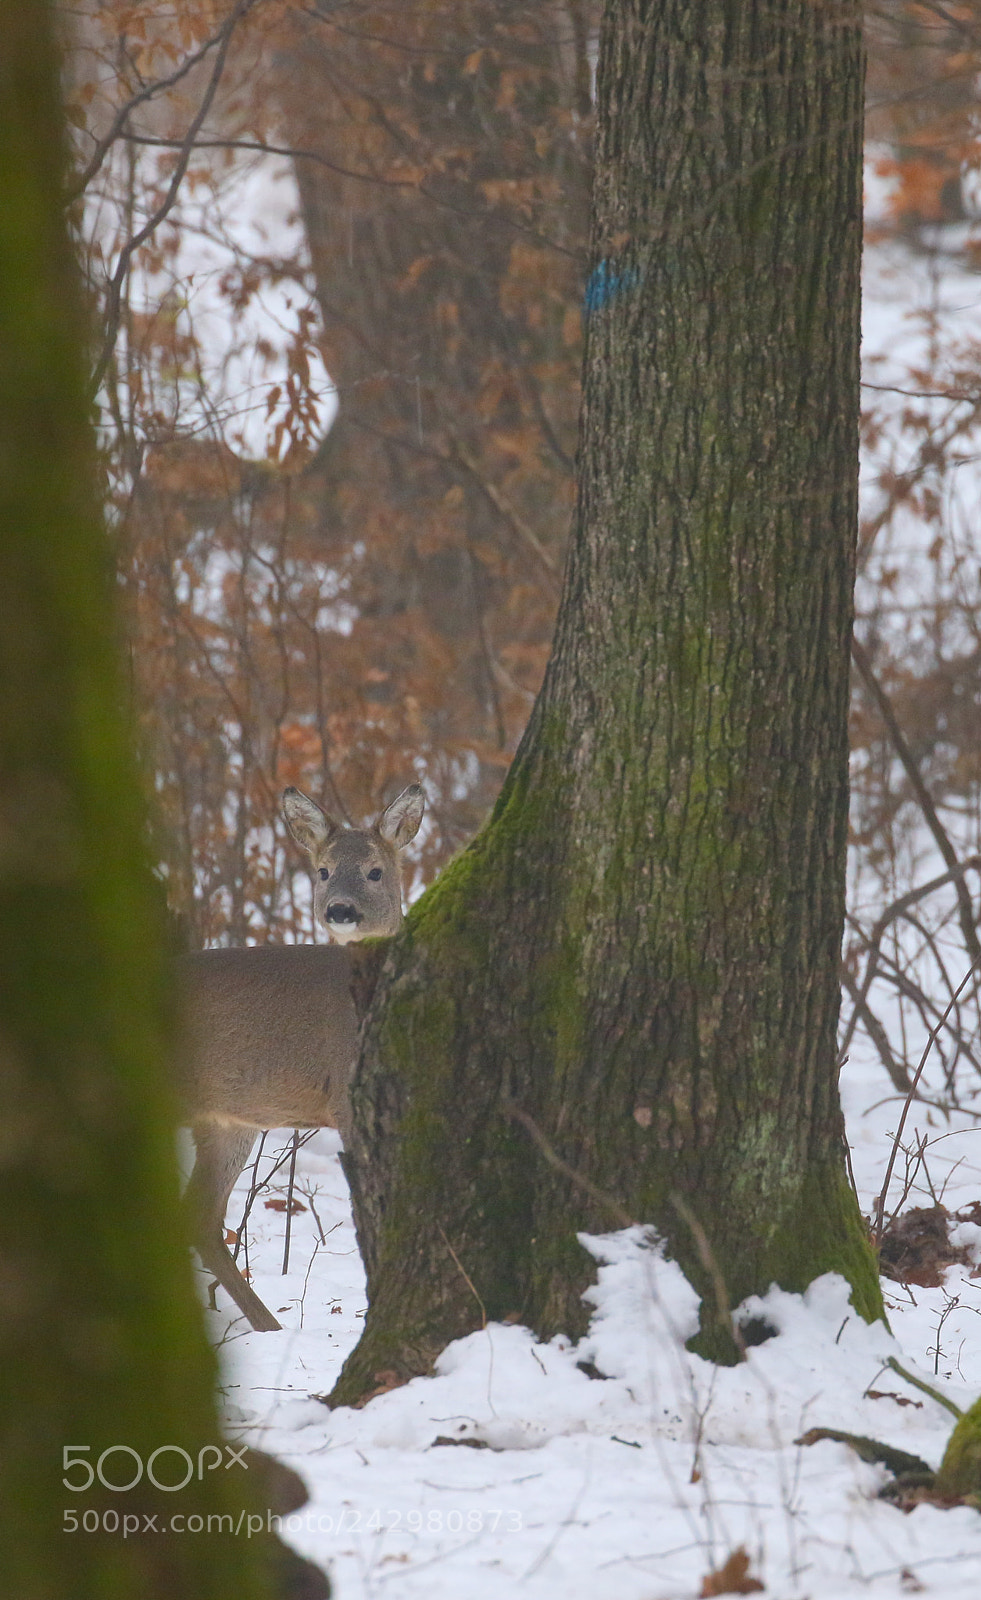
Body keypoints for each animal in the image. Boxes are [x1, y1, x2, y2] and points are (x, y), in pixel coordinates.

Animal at [178, 783, 425, 1332]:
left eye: (375, 870)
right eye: (324, 870)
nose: (340, 910)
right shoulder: (348, 1103)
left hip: (227, 1119)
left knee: (200, 1218)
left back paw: (269, 1326)